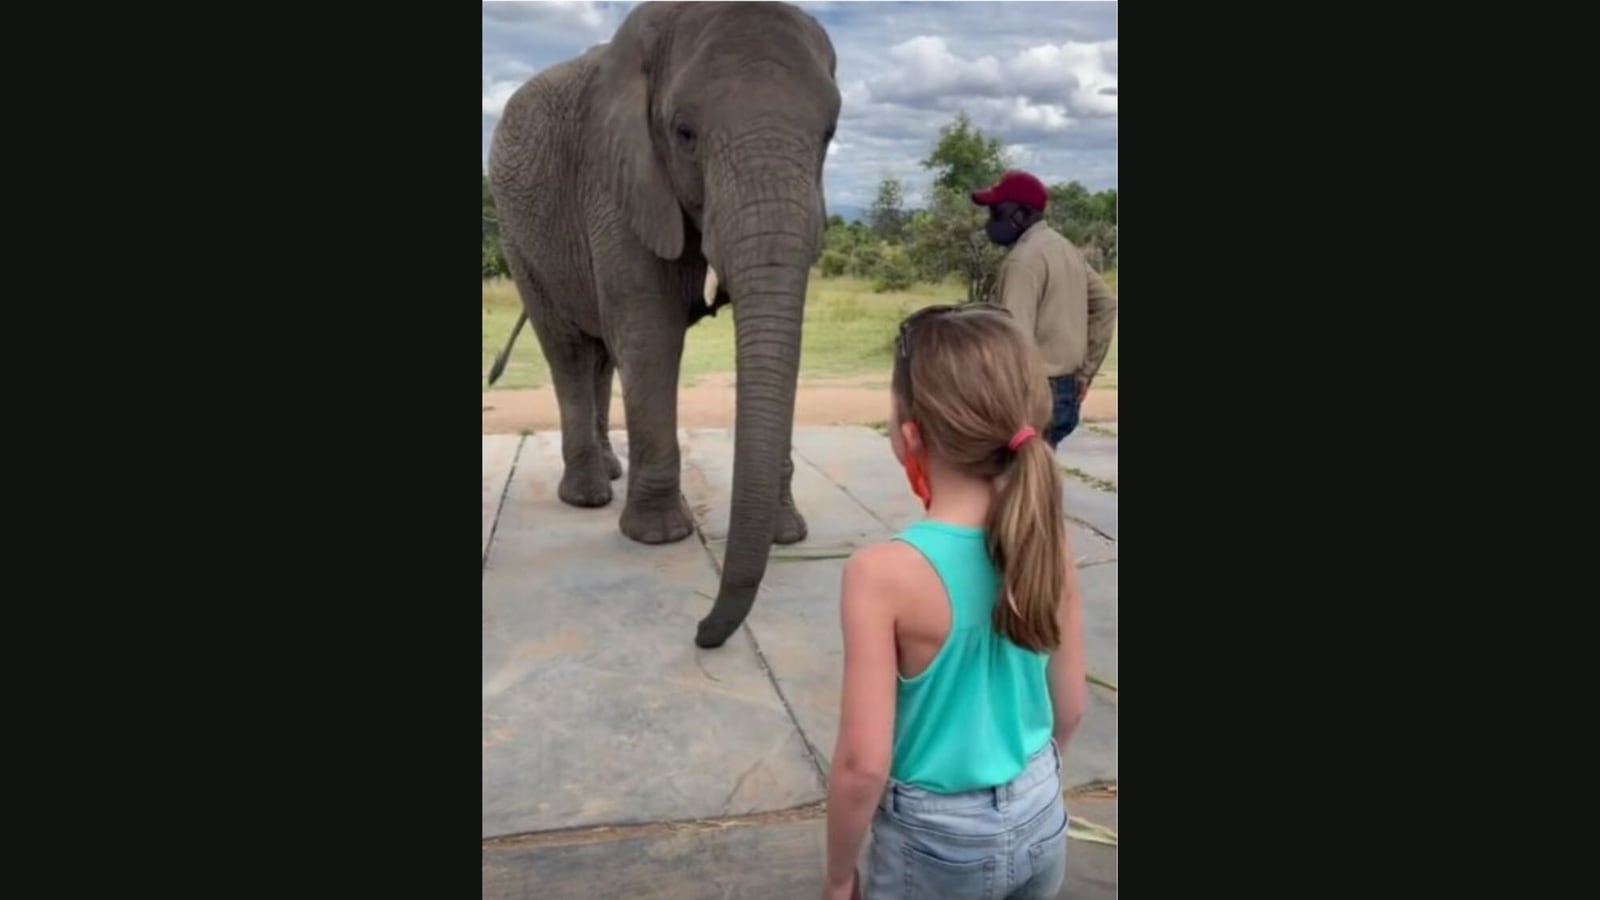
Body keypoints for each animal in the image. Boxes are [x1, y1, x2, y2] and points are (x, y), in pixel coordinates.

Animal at [483, 0, 838, 643]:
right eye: (684, 133)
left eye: (829, 134)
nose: (701, 632)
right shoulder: (615, 177)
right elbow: (650, 337)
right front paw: (657, 538)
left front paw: (789, 534)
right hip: (518, 235)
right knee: (568, 350)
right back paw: (588, 496)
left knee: (599, 354)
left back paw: (609, 472)